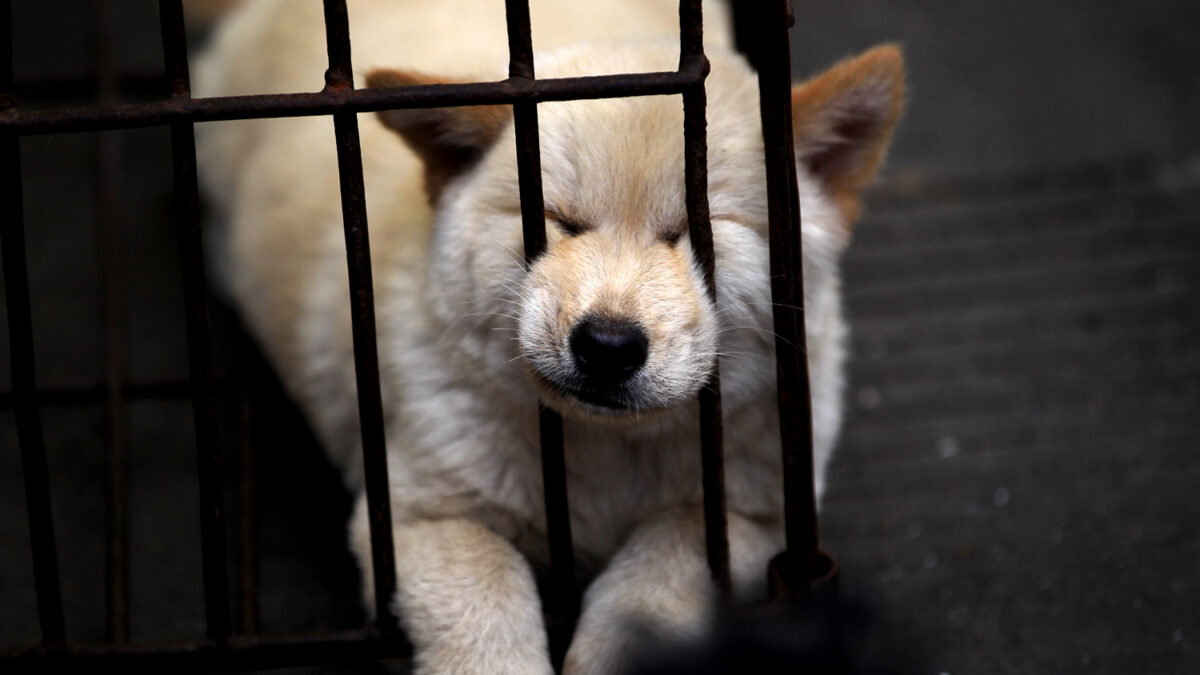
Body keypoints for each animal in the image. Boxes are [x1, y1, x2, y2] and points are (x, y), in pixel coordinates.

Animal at [189, 0, 902, 667]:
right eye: (556, 222)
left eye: (693, 233)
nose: (607, 346)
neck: (606, 458)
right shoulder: (419, 515)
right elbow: (488, 608)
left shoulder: (755, 513)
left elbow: (656, 580)